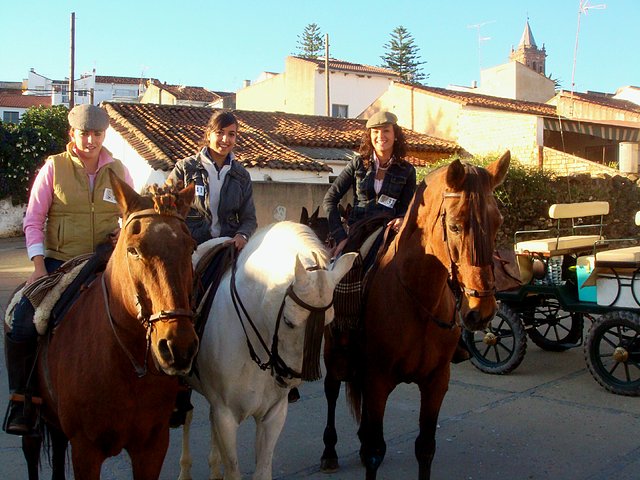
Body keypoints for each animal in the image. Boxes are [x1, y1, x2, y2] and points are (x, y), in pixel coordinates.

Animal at [24, 173, 200, 480]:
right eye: (133, 250)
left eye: (190, 248)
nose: (178, 347)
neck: (126, 362)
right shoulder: (86, 450)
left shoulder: (152, 447)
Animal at [180, 222, 358, 480]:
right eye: (288, 321)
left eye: (328, 321)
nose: (291, 379)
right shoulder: (226, 416)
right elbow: (232, 468)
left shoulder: (273, 414)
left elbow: (262, 469)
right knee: (187, 415)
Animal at [320, 154, 510, 480]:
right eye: (455, 226)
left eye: (497, 222)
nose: (481, 310)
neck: (418, 298)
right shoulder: (377, 380)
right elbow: (375, 451)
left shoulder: (436, 382)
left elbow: (425, 448)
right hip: (335, 355)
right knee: (331, 390)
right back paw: (329, 451)